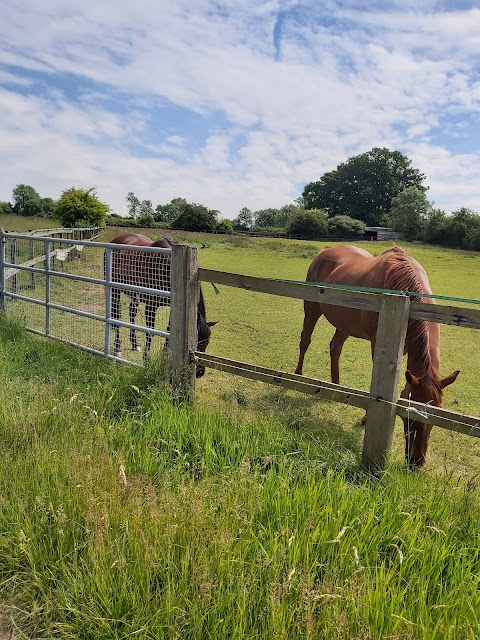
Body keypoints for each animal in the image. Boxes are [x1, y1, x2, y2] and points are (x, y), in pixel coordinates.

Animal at [109, 234, 216, 376]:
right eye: (196, 342)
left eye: (207, 342)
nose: (199, 372)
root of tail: (116, 239)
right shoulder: (151, 306)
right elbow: (150, 333)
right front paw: (146, 360)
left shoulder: (173, 306)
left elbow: (169, 329)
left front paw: (165, 355)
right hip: (115, 290)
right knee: (116, 316)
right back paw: (118, 349)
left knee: (132, 311)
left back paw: (135, 344)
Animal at [294, 242, 460, 468]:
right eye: (408, 417)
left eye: (435, 417)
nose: (416, 462)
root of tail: (324, 252)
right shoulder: (377, 344)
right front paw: (366, 418)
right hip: (311, 309)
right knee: (305, 340)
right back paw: (298, 375)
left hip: (344, 324)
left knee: (335, 348)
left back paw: (337, 387)